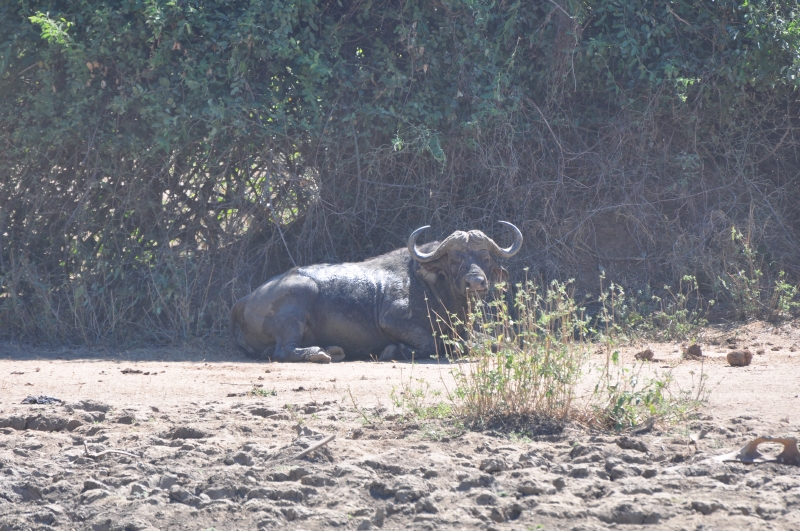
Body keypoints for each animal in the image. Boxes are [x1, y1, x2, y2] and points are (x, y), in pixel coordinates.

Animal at [230, 222, 523, 363]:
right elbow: (432, 343)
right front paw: (394, 350)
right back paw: (320, 354)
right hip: (297, 303)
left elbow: (501, 341)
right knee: (283, 350)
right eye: (454, 258)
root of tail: (243, 301)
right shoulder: (392, 319)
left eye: (484, 256)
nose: (476, 282)